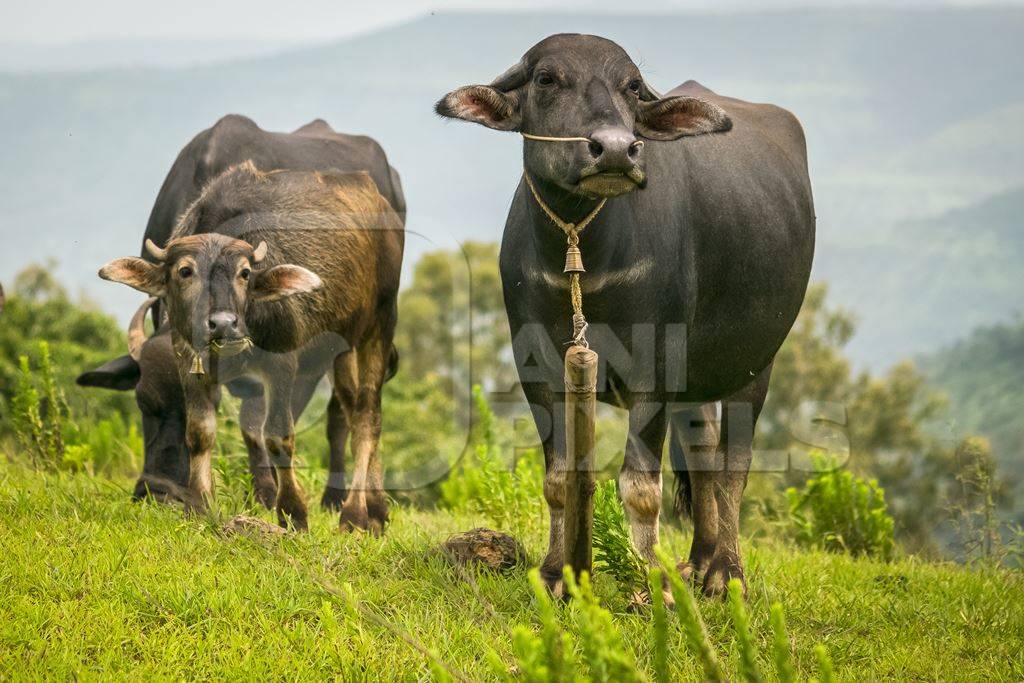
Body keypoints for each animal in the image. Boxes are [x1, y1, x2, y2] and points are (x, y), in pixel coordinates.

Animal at [76, 116, 403, 511]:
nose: (157, 493)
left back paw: (343, 499)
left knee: (346, 411)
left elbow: (258, 423)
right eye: (143, 402)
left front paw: (267, 493)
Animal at [440, 33, 815, 598]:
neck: (587, 250)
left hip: (757, 359)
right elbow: (561, 477)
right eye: (546, 79)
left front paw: (648, 583)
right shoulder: (537, 367)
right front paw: (556, 572)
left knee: (734, 464)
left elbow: (640, 485)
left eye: (633, 87)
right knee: (702, 454)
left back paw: (726, 573)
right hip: (697, 380)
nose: (616, 149)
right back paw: (699, 562)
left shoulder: (655, 364)